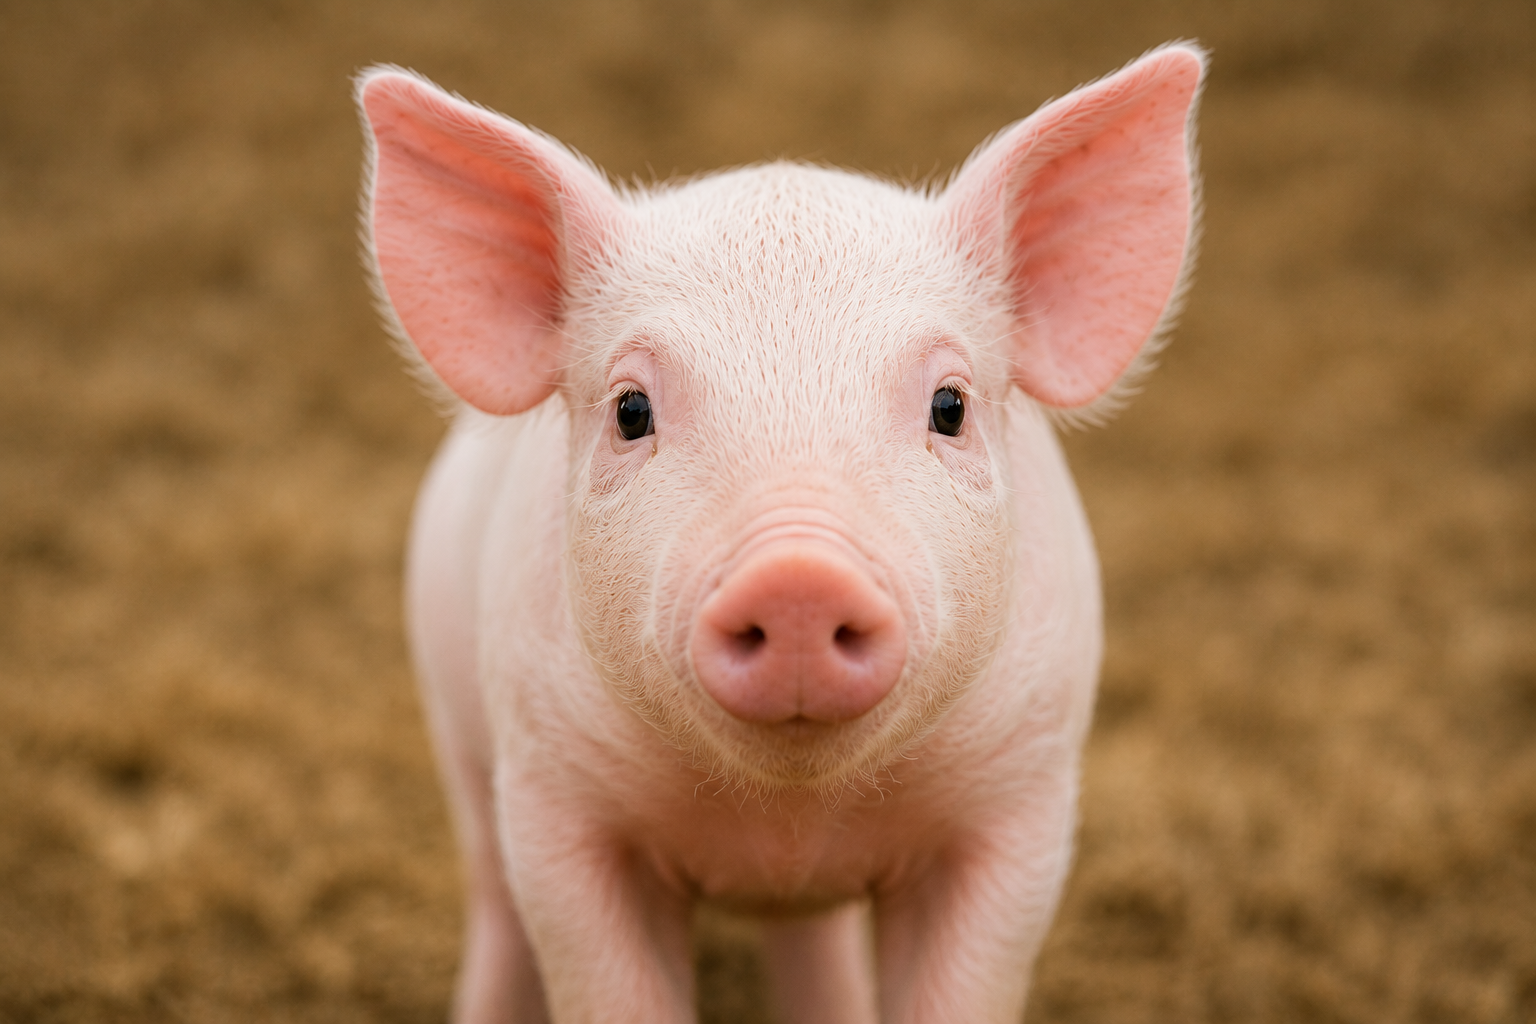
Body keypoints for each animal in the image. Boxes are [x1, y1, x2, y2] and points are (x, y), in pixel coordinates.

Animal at [357, 42, 1205, 1024]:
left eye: (950, 406)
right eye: (631, 409)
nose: (799, 574)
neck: (787, 818)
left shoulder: (1022, 796)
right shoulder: (554, 797)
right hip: (456, 727)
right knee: (494, 899)